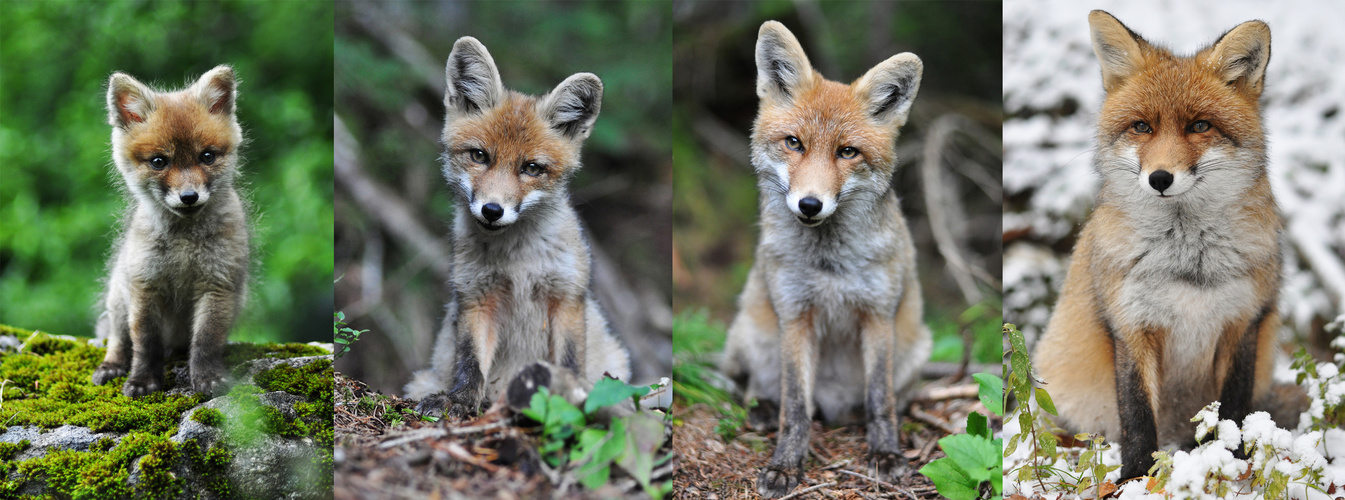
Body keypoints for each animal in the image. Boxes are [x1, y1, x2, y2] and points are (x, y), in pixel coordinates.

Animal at [92, 65, 250, 397]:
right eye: (159, 162)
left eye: (207, 156)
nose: (189, 197)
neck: (184, 244)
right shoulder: (144, 287)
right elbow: (145, 342)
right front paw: (142, 381)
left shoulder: (218, 285)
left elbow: (206, 341)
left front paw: (208, 378)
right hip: (118, 298)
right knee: (118, 339)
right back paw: (111, 366)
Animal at [403, 37, 629, 416]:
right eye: (479, 156)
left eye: (531, 168)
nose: (492, 210)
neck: (519, 264)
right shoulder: (476, 297)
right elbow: (470, 362)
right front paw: (460, 401)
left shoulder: (566, 297)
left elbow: (569, 364)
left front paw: (570, 402)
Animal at [720, 22, 930, 497]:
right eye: (794, 143)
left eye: (847, 152)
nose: (810, 204)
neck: (829, 266)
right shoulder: (796, 316)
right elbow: (796, 407)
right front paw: (785, 465)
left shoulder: (878, 316)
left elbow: (880, 399)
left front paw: (885, 454)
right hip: (754, 333)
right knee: (752, 388)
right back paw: (762, 409)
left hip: (914, 346)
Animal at [1027, 11, 1291, 481]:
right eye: (1142, 127)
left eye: (1200, 126)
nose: (1160, 178)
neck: (1188, 261)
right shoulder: (1131, 324)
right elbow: (1136, 416)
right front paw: (1135, 477)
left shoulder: (1242, 321)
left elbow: (1233, 410)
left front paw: (1233, 461)